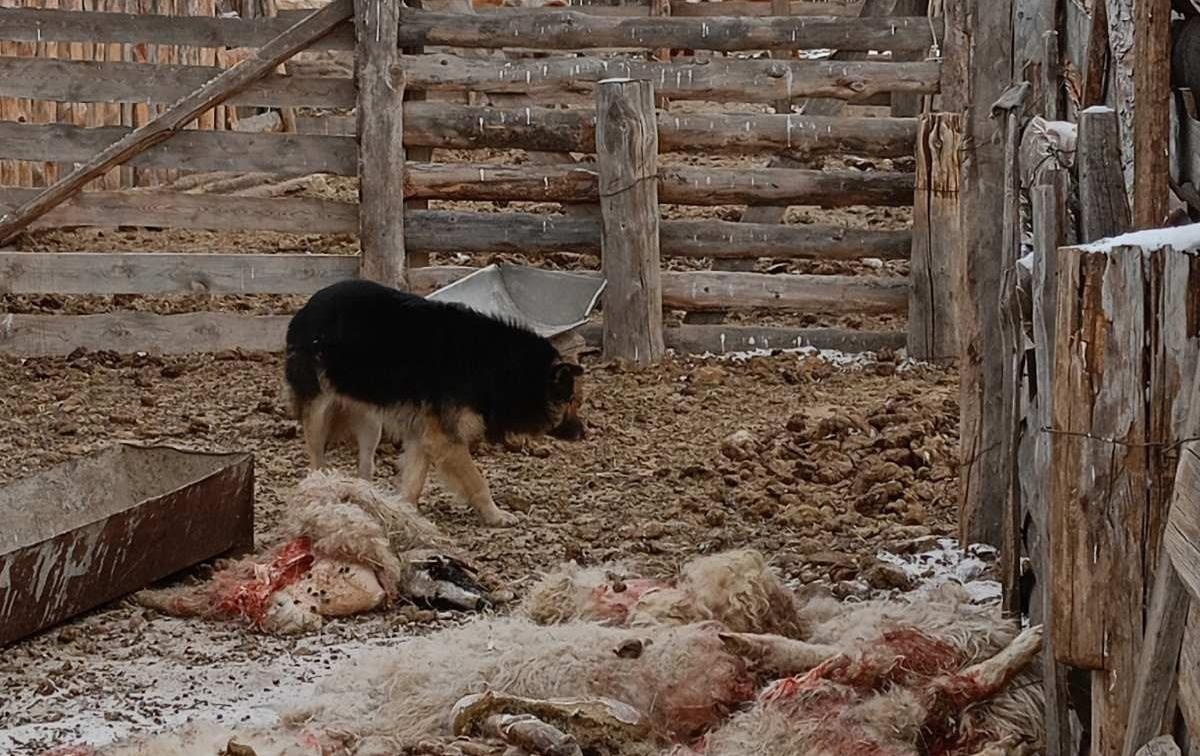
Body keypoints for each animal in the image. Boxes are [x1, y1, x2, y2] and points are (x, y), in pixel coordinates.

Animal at [290, 278, 590, 528]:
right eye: (571, 401)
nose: (583, 433)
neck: (500, 367)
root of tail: (309, 304)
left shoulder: (425, 434)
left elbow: (414, 481)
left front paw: (406, 512)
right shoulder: (447, 438)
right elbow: (476, 481)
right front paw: (495, 515)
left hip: (371, 421)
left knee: (366, 463)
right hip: (319, 413)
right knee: (316, 459)